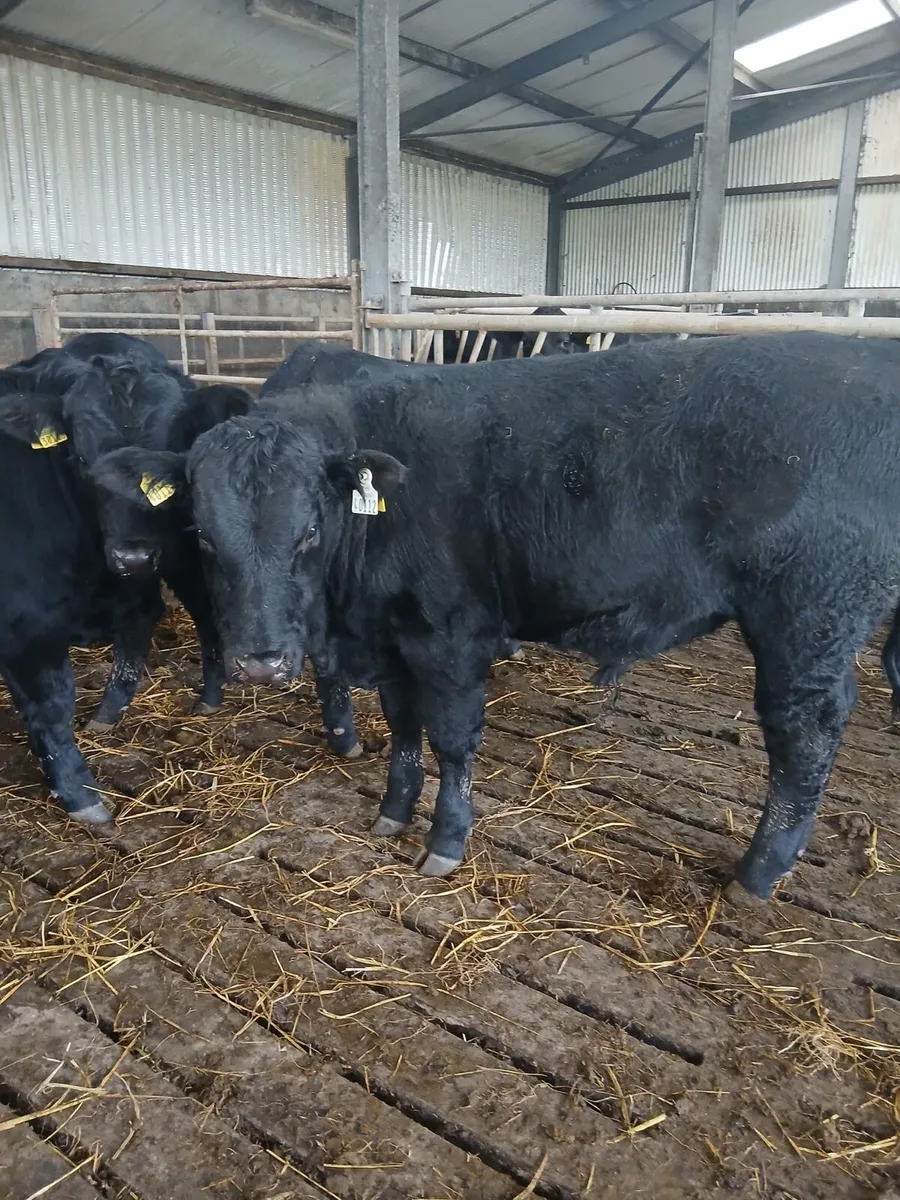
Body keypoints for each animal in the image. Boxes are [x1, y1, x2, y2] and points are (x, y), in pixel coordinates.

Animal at [97, 331, 900, 899]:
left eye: (309, 532)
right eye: (203, 534)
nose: (259, 661)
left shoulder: (452, 636)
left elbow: (452, 741)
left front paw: (445, 842)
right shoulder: (394, 639)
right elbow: (403, 728)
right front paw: (393, 810)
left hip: (808, 615)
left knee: (805, 732)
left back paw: (759, 871)